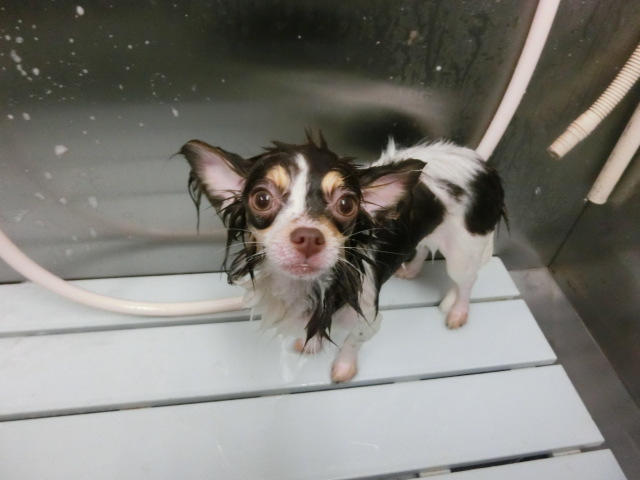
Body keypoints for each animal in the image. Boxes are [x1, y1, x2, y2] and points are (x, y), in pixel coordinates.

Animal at [180, 132, 505, 383]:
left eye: (347, 204)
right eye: (261, 199)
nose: (309, 236)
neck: (307, 288)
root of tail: (482, 164)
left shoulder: (369, 320)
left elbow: (352, 342)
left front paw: (344, 367)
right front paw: (313, 342)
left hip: (463, 252)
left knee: (466, 281)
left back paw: (458, 310)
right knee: (424, 247)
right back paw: (411, 270)